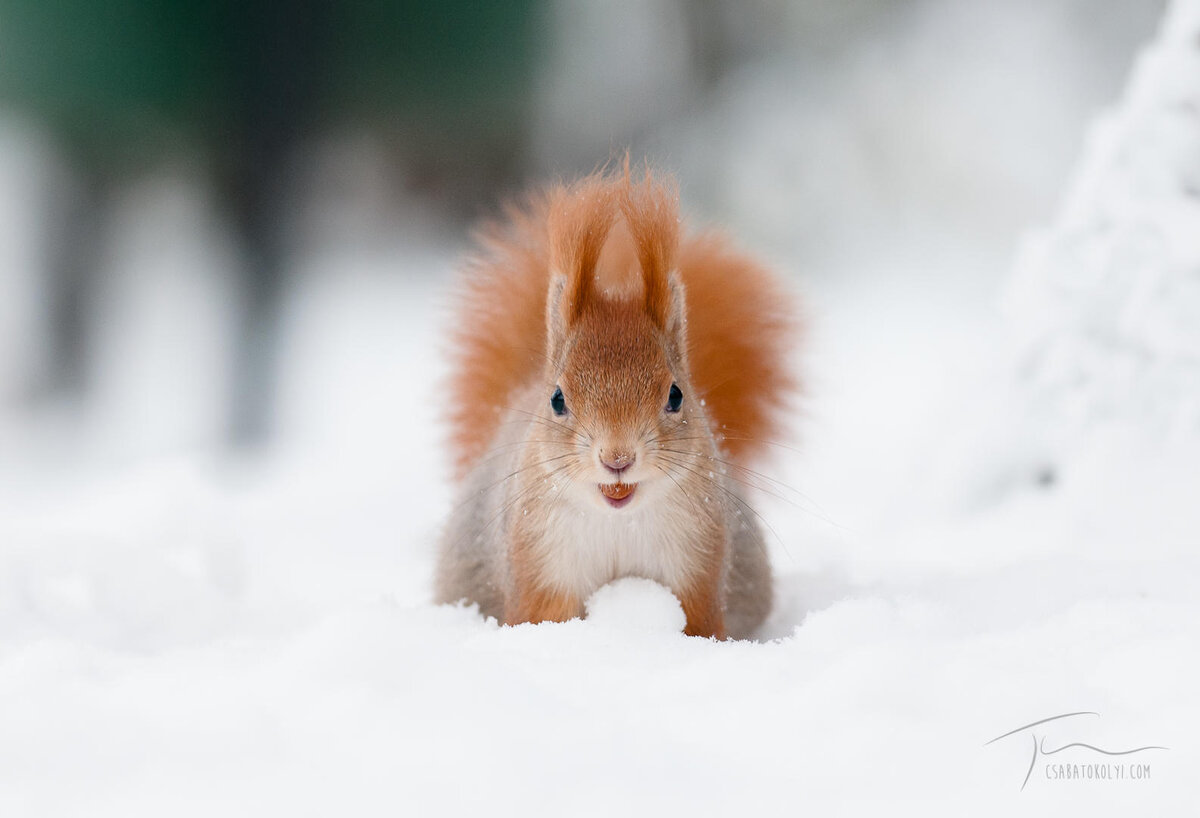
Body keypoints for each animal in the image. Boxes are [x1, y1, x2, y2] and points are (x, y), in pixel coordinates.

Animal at [434, 164, 796, 638]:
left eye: (676, 395)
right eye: (557, 400)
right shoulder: (540, 564)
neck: (618, 518)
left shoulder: (697, 560)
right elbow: (543, 615)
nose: (617, 459)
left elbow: (698, 620)